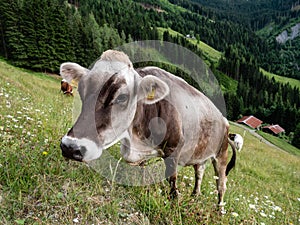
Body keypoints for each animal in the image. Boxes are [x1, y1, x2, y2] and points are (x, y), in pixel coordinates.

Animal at [59, 50, 237, 208]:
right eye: (81, 90)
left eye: (122, 97)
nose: (70, 147)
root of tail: (223, 118)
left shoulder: (174, 146)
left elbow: (172, 177)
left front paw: (174, 201)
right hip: (201, 154)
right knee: (199, 173)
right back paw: (195, 196)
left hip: (221, 155)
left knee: (221, 185)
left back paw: (219, 209)